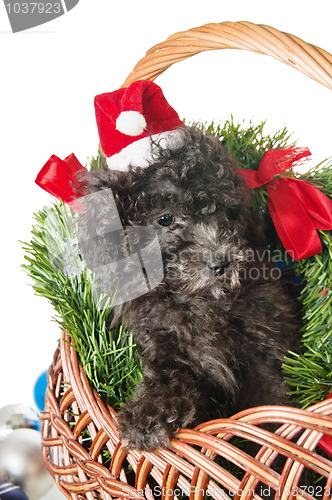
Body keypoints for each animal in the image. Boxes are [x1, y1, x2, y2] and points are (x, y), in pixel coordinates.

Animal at [76, 126, 300, 454]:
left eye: (225, 212)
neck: (200, 300)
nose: (221, 262)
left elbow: (267, 398)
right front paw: (147, 417)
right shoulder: (160, 338)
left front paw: (267, 444)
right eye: (165, 219)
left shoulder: (260, 341)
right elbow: (169, 377)